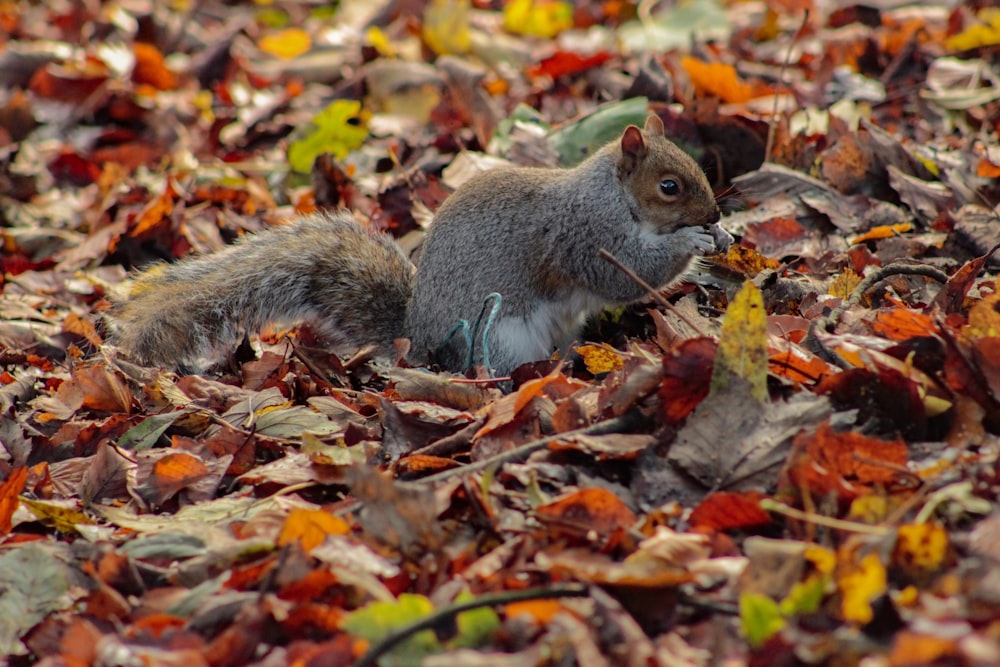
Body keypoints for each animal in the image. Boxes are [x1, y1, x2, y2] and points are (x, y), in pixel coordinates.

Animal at [113, 112, 732, 378]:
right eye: (669, 187)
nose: (715, 213)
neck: (612, 197)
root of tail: (420, 339)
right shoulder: (585, 237)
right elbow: (626, 273)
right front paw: (694, 240)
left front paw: (722, 233)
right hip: (500, 337)